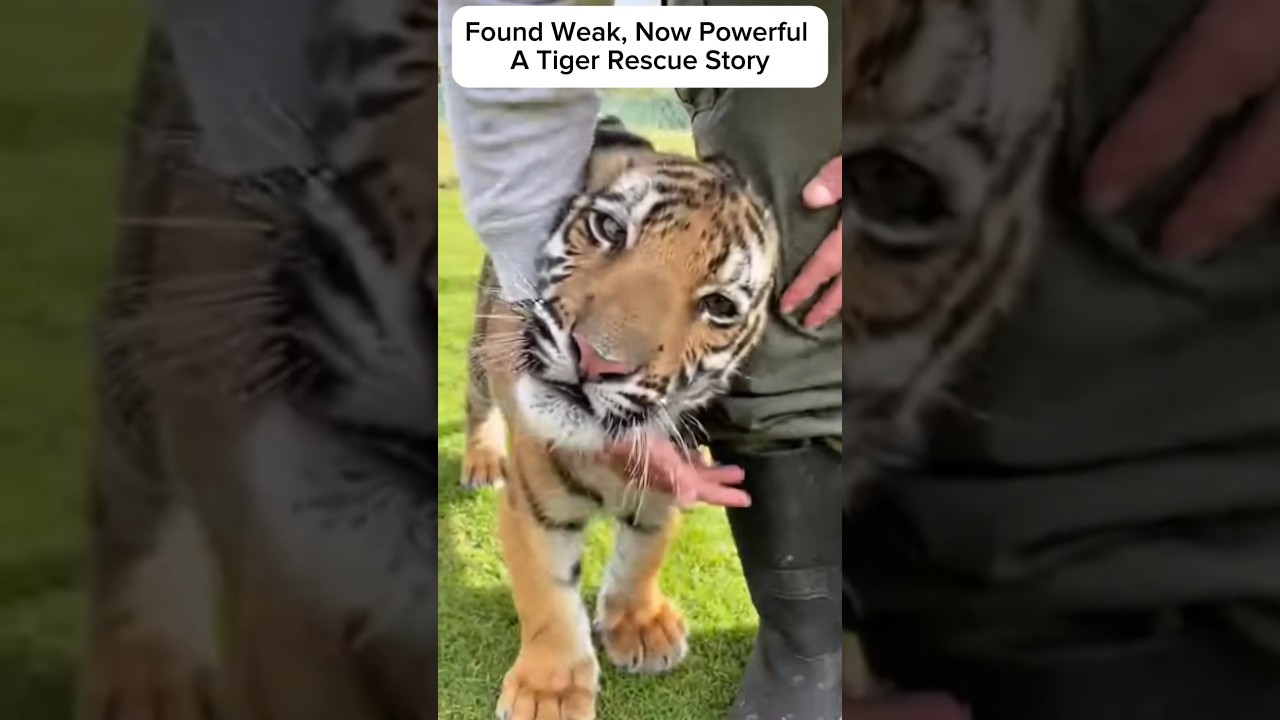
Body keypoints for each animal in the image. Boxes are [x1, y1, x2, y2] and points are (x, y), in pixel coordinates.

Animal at [458, 119, 780, 720]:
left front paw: (641, 625)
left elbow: (642, 557)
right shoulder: (533, 508)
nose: (596, 359)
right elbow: (547, 595)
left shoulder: (664, 491)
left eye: (719, 307)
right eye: (608, 228)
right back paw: (481, 461)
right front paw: (549, 690)